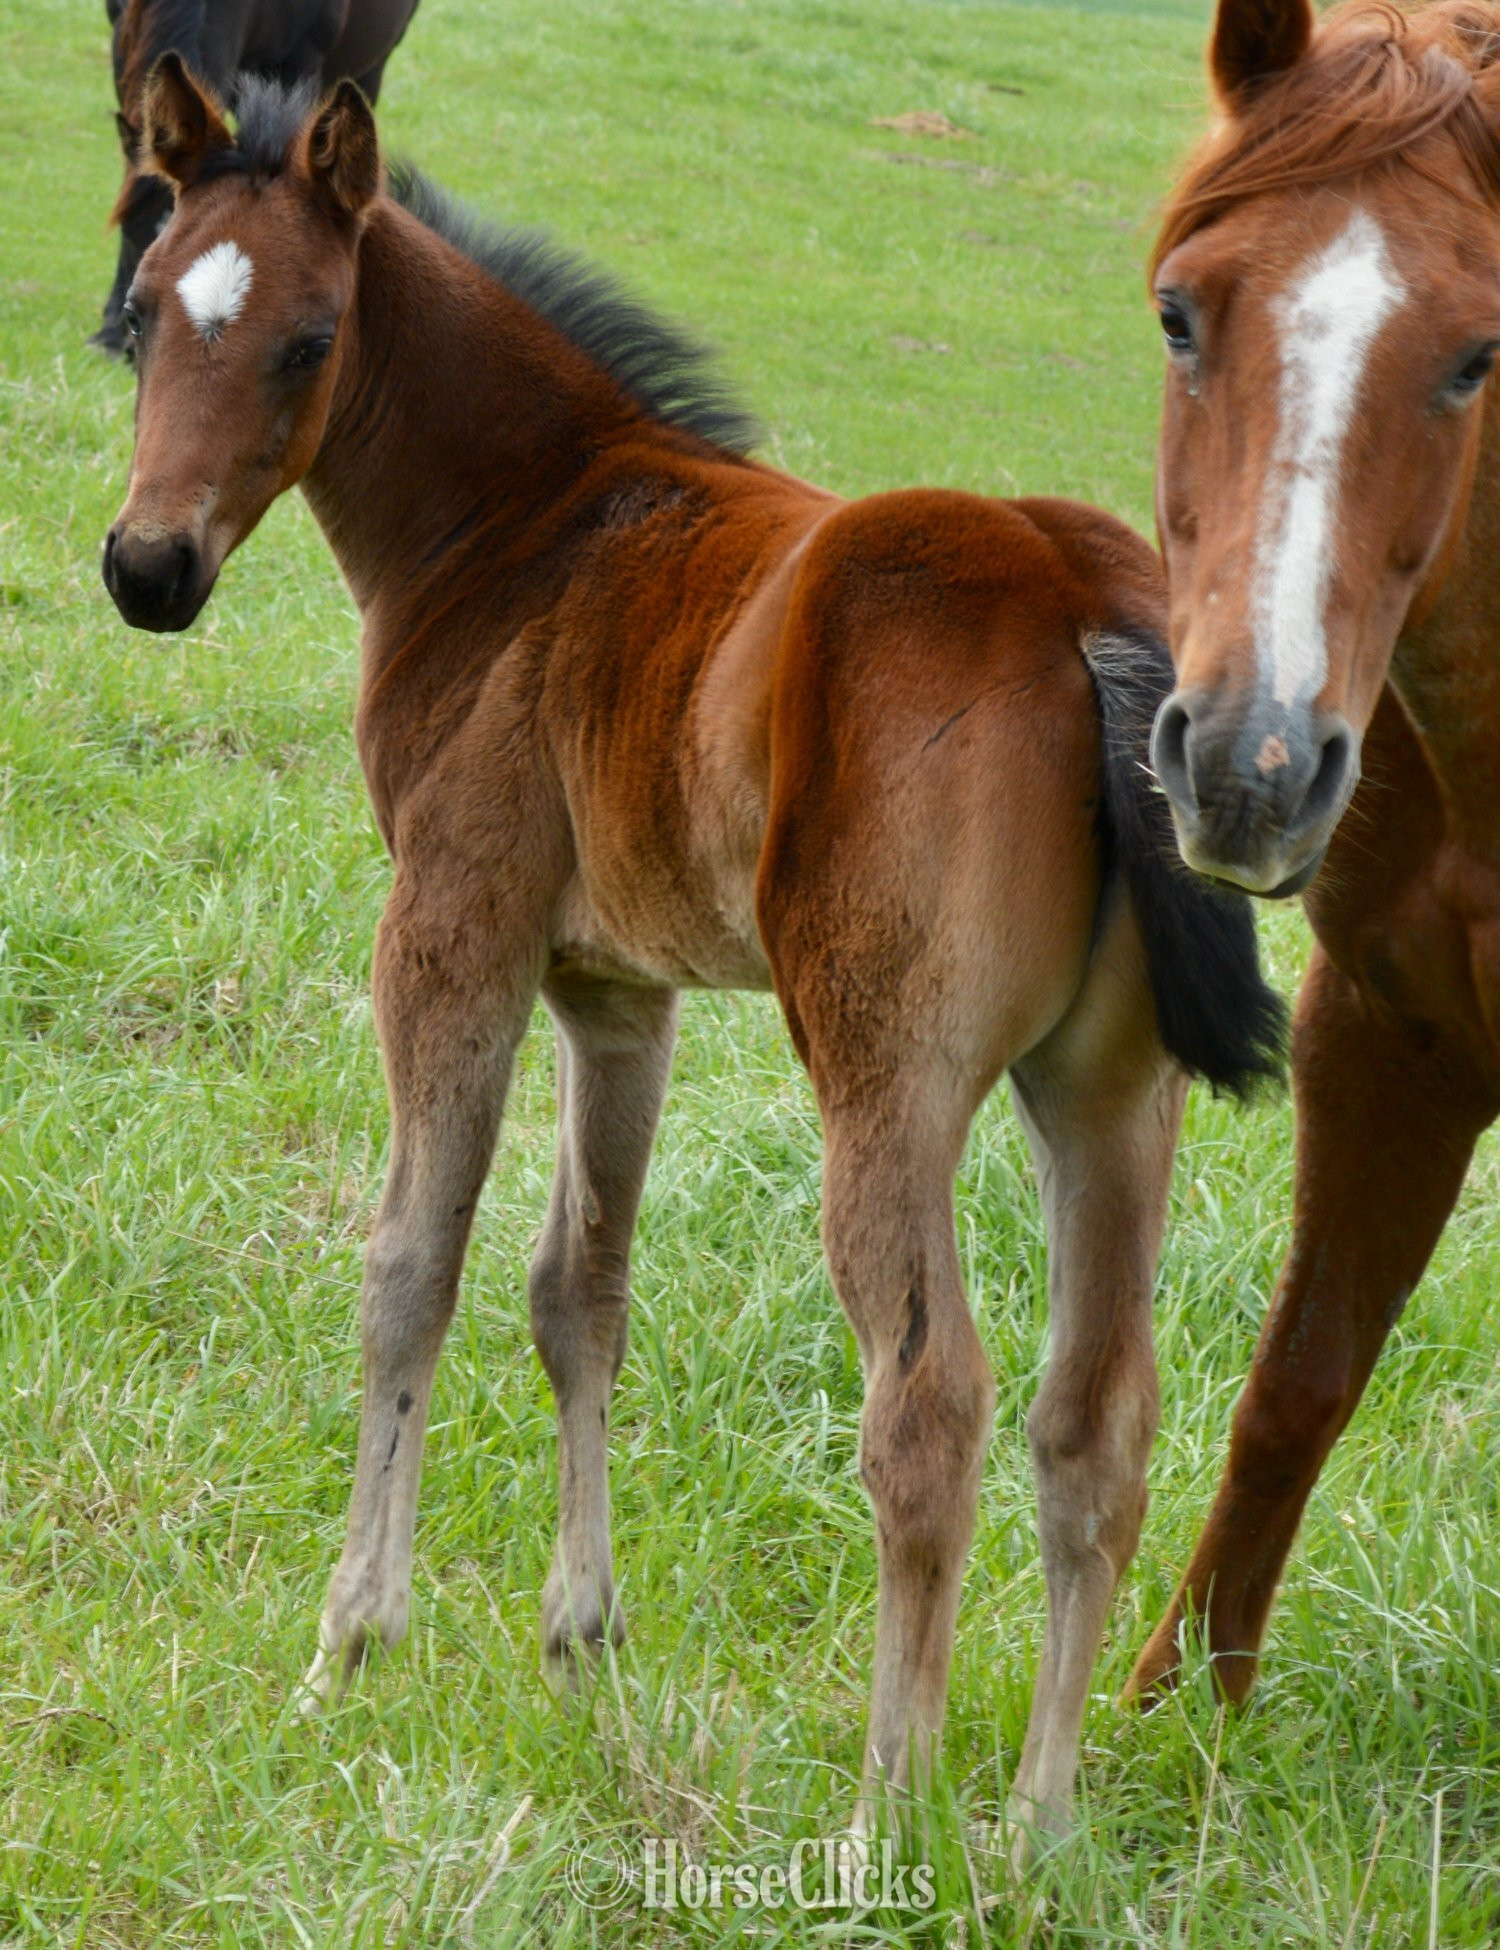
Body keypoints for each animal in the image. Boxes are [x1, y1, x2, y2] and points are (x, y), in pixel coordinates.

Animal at [101, 58, 1282, 1855]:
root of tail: (1075, 586)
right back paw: (1036, 1829)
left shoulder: (454, 931)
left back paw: (885, 1820)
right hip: (1103, 1087)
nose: (146, 570)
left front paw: (350, 1643)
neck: (531, 522)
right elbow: (579, 1286)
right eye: (152, 306)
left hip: (885, 1073)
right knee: (1099, 1420)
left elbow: (411, 1269)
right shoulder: (616, 990)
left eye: (308, 340)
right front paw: (580, 1638)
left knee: (930, 1408)